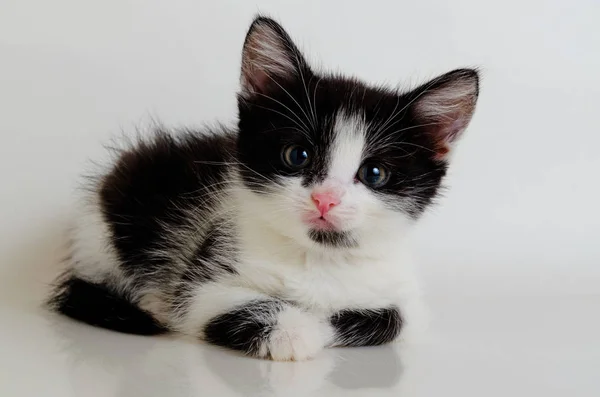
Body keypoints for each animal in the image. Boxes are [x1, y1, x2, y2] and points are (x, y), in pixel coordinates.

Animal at [48, 17, 478, 360]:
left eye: (374, 173)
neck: (319, 259)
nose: (325, 198)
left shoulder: (404, 297)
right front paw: (300, 330)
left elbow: (393, 318)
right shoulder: (201, 283)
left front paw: (327, 323)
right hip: (104, 234)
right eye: (298, 155)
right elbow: (216, 308)